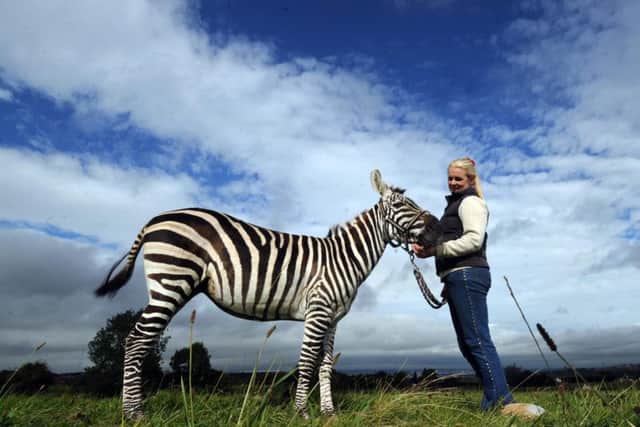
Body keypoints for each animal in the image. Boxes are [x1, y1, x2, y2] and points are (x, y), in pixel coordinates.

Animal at [95, 169, 442, 419]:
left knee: (139, 340)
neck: (343, 258)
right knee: (136, 340)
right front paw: (301, 412)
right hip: (171, 282)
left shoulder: (333, 317)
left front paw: (329, 412)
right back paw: (133, 413)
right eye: (400, 205)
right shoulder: (317, 310)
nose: (437, 227)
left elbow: (325, 365)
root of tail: (155, 219)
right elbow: (306, 361)